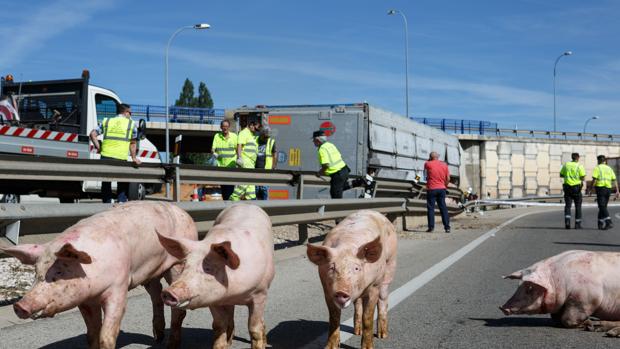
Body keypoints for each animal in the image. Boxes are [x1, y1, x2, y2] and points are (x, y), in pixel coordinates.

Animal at [0, 201, 197, 348]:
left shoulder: (119, 286)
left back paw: (170, 344)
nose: (20, 305)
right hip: (149, 272)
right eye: (36, 272)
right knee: (157, 292)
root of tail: (182, 211)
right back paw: (157, 337)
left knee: (177, 305)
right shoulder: (85, 299)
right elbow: (91, 334)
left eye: (59, 271)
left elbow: (106, 334)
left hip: (177, 263)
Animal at [157, 203, 274, 348]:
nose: (168, 291)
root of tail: (246, 204)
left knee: (260, 322)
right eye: (184, 265)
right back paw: (230, 342)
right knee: (230, 319)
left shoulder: (260, 293)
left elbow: (254, 328)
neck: (233, 293)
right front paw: (221, 344)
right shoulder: (212, 299)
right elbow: (219, 326)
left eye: (208, 269)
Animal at [306, 209, 398, 348]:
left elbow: (368, 317)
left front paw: (368, 347)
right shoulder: (327, 290)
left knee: (383, 299)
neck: (347, 245)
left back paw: (382, 335)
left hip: (390, 266)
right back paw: (357, 332)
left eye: (356, 268)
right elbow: (334, 318)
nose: (341, 291)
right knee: (358, 302)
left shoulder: (374, 286)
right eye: (331, 267)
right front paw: (331, 347)